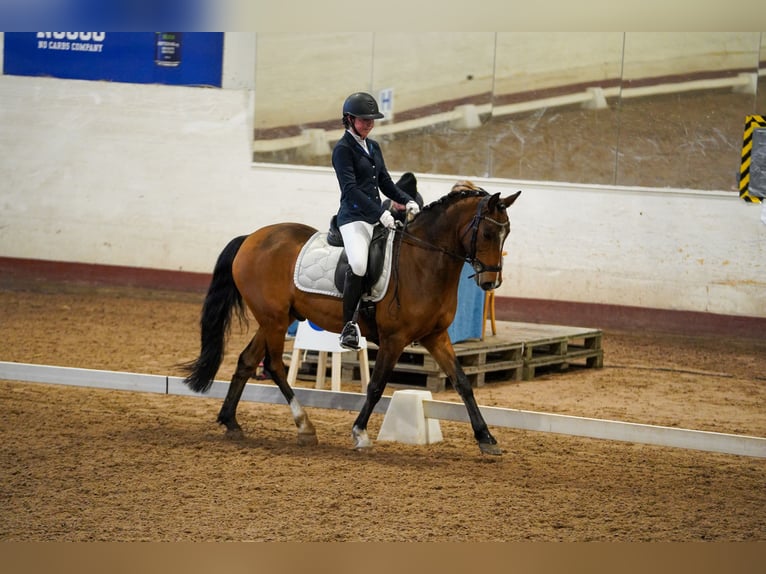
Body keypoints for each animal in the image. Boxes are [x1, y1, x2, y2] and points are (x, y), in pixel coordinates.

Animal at [182, 179, 521, 455]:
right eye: (488, 232)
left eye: (506, 233)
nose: (490, 282)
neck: (424, 261)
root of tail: (252, 237)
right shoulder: (394, 339)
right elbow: (377, 386)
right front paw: (360, 433)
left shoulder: (435, 336)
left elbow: (462, 382)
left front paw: (486, 438)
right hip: (274, 319)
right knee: (275, 365)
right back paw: (304, 426)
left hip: (275, 319)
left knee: (247, 360)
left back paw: (231, 421)